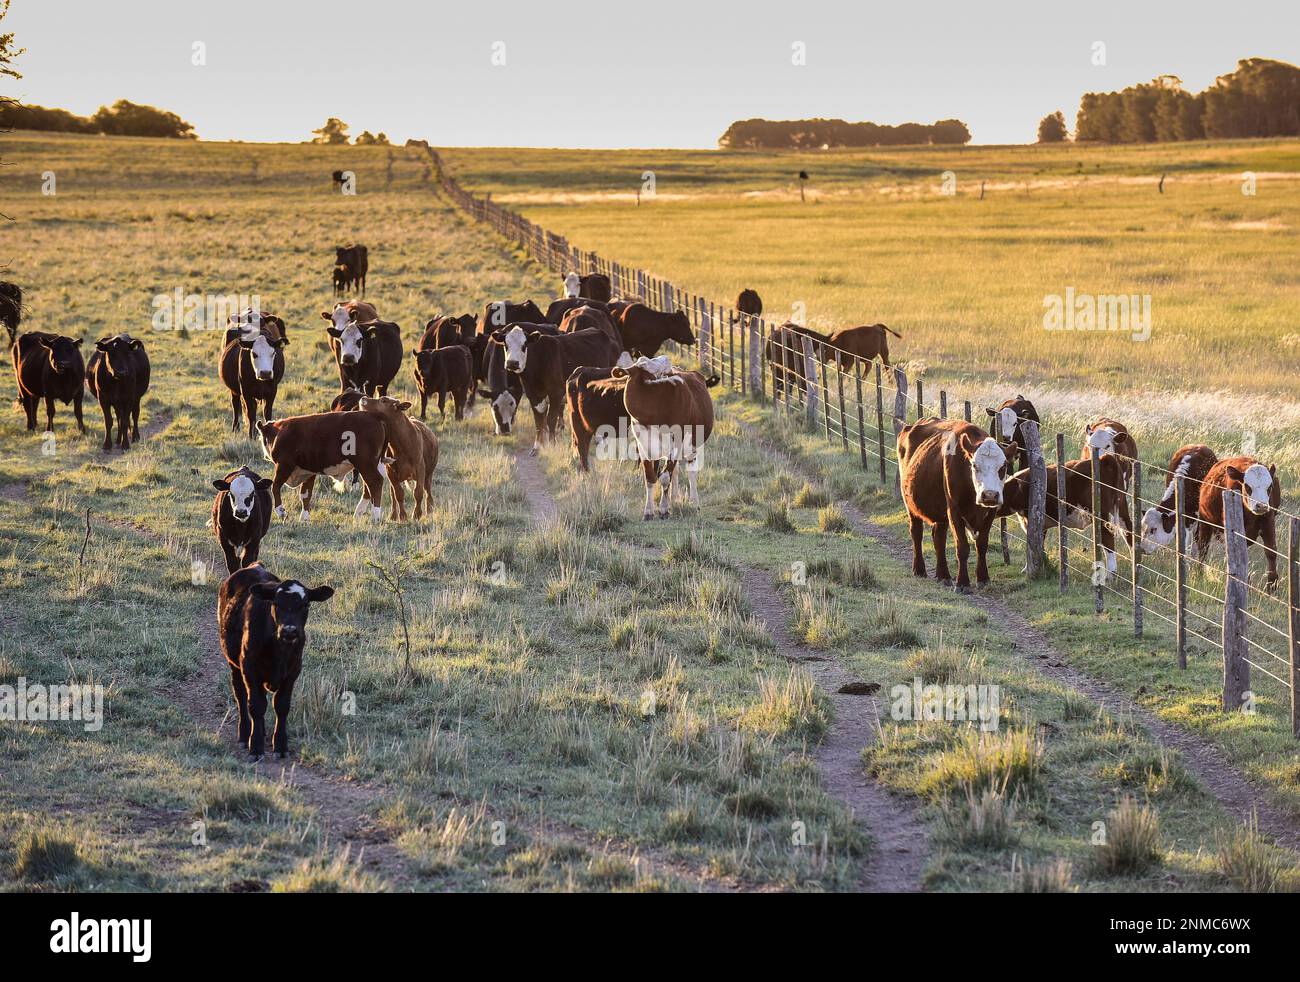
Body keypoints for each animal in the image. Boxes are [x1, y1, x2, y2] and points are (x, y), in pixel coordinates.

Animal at [256, 408, 387, 522]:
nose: (264, 456)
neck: (279, 433)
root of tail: (372, 415)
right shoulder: (308, 471)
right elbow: (305, 494)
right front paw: (304, 518)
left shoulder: (284, 465)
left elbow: (275, 486)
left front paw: (281, 511)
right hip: (372, 465)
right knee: (368, 487)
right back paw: (359, 513)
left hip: (365, 464)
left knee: (375, 482)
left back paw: (375, 516)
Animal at [611, 356, 717, 522]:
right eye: (651, 367)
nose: (666, 359)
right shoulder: (643, 445)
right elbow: (650, 477)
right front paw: (649, 511)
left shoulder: (676, 442)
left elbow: (665, 477)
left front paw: (664, 509)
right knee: (676, 471)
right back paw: (674, 498)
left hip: (692, 445)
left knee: (691, 471)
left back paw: (694, 502)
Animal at [899, 416, 1008, 590]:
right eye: (974, 465)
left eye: (1003, 467)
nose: (989, 495)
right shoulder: (954, 511)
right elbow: (962, 547)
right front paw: (962, 583)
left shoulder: (991, 512)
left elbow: (982, 545)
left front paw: (983, 578)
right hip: (911, 505)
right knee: (916, 533)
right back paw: (919, 569)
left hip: (940, 511)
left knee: (938, 538)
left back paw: (943, 575)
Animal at [998, 455, 1133, 582]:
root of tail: (1104, 459)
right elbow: (1039, 544)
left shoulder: (1030, 520)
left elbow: (1031, 543)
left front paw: (1028, 568)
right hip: (1121, 506)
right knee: (1128, 531)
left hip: (1100, 514)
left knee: (1108, 538)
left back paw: (1111, 575)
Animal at [1196, 457, 1279, 587]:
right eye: (1247, 486)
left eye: (1269, 486)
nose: (1261, 506)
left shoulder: (1268, 522)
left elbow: (1271, 551)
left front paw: (1272, 585)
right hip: (1205, 521)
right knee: (1203, 547)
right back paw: (1199, 572)